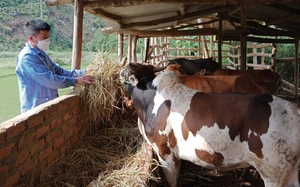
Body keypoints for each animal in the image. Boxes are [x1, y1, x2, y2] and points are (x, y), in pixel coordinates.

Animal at [119, 62, 300, 187]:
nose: (121, 70)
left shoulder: (164, 151)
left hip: (274, 172)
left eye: (128, 71)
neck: (150, 99)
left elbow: (172, 181)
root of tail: (293, 109)